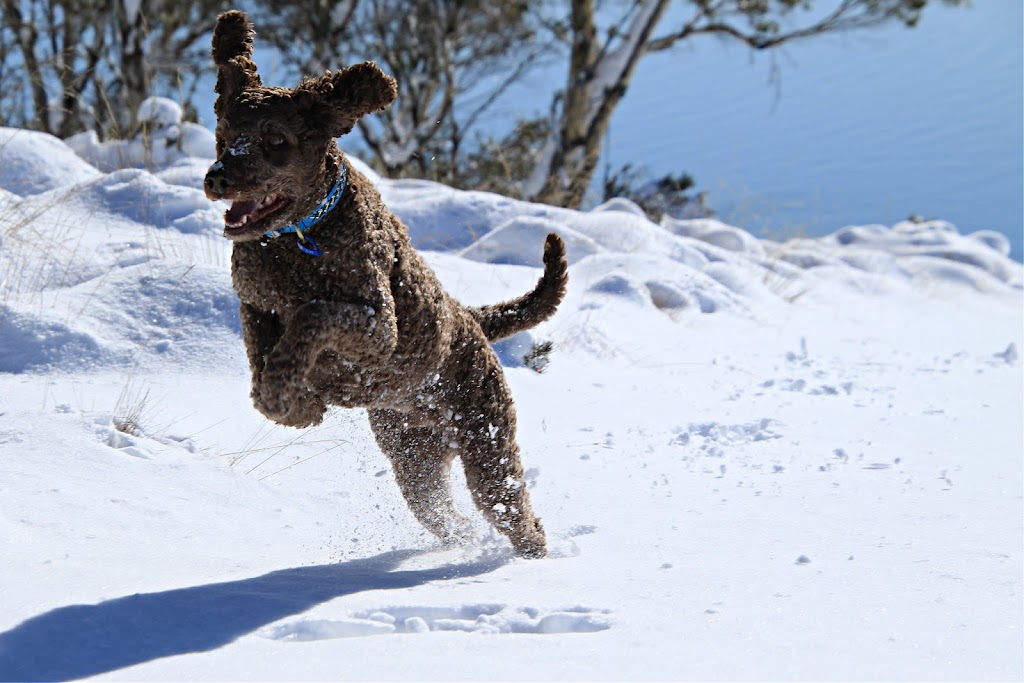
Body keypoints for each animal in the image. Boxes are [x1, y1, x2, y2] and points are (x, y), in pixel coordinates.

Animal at [199, 9, 569, 561]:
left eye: (276, 141)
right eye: (224, 132)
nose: (219, 177)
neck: (300, 238)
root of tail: (469, 318)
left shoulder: (378, 327)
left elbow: (311, 316)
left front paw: (295, 397)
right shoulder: (254, 303)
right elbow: (261, 356)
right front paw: (295, 406)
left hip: (486, 441)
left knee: (516, 516)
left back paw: (533, 562)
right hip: (414, 459)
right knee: (446, 516)